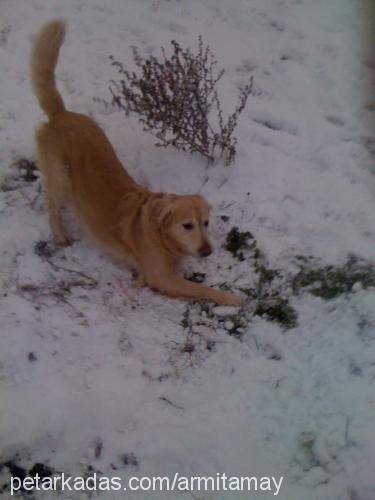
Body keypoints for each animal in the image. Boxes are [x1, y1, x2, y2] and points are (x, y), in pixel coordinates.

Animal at [30, 19, 245, 304]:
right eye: (187, 225)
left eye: (206, 223)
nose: (207, 251)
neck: (159, 234)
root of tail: (61, 114)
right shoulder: (160, 277)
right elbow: (202, 289)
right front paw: (234, 299)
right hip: (59, 175)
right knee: (52, 204)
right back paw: (61, 234)